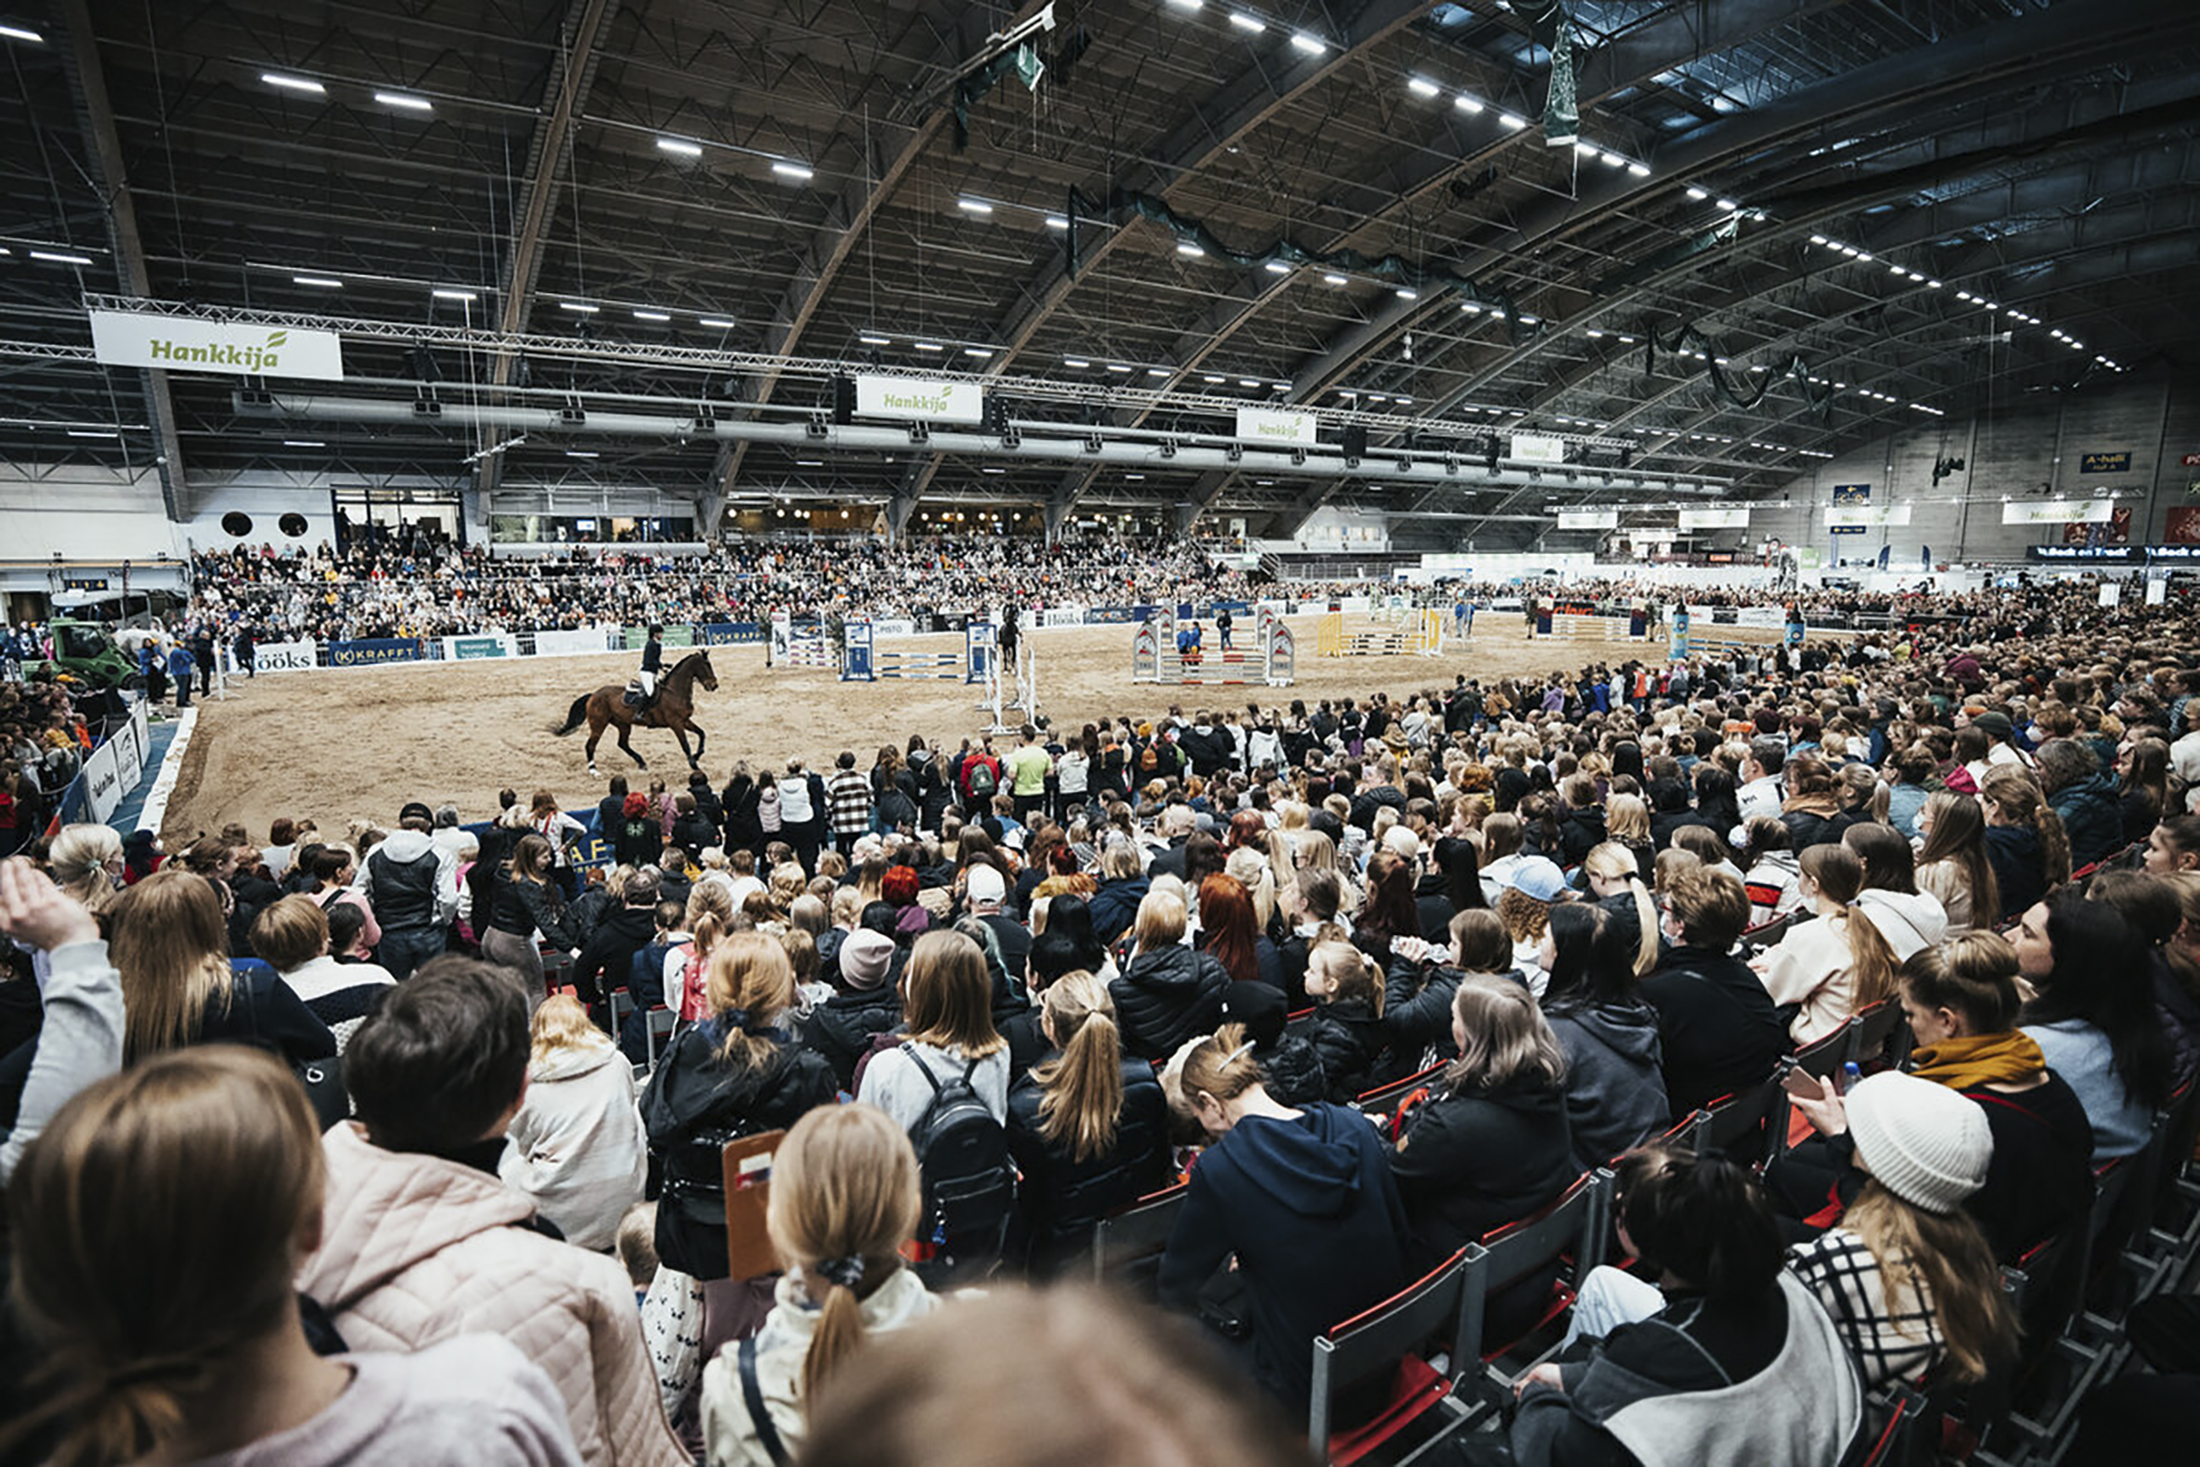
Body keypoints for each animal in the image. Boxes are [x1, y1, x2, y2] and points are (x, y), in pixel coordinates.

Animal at [554, 646, 717, 774]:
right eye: (706, 666)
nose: (714, 686)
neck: (675, 692)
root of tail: (593, 694)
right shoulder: (675, 723)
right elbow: (685, 744)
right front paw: (694, 764)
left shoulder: (685, 721)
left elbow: (702, 733)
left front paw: (697, 756)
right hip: (598, 724)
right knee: (590, 745)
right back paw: (594, 770)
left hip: (622, 724)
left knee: (622, 744)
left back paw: (641, 762)